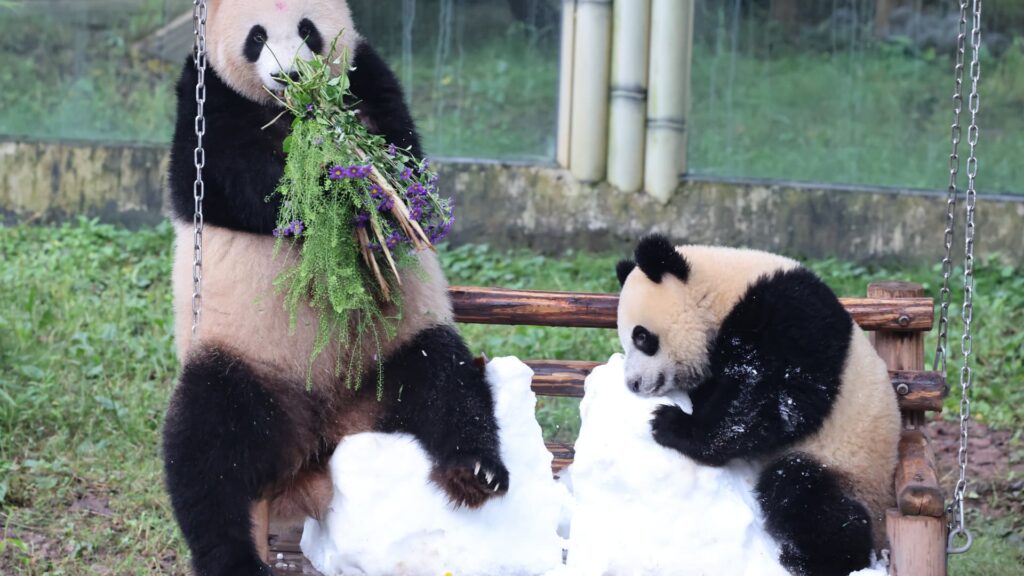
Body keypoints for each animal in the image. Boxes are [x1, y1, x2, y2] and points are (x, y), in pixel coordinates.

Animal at [163, 1, 508, 574]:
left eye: (307, 29)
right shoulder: (205, 94)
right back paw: (234, 557)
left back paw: (476, 471)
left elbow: (404, 148)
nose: (290, 76)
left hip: (394, 347)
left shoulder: (367, 72)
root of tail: (322, 439)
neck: (291, 111)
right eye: (255, 37)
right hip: (246, 359)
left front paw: (368, 177)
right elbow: (228, 181)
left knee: (446, 383)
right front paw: (333, 182)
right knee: (208, 451)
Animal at [615, 234, 900, 576]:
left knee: (801, 492)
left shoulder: (786, 314)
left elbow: (771, 399)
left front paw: (673, 424)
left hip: (848, 464)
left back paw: (815, 559)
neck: (721, 291)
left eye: (642, 337)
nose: (633, 384)